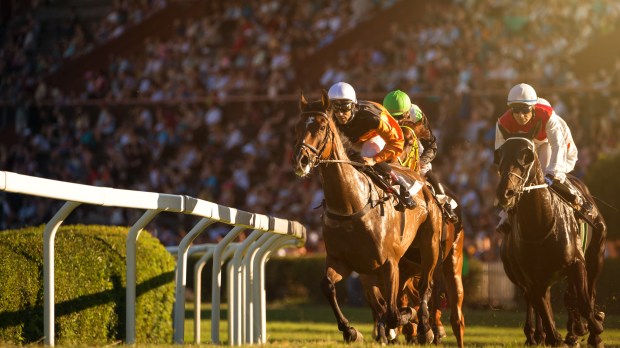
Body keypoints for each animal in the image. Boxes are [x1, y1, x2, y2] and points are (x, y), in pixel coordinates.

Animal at [294, 89, 440, 342]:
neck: (350, 205)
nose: (301, 161)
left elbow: (393, 314)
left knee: (425, 288)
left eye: (321, 127)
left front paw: (406, 319)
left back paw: (425, 328)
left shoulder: (389, 264)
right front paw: (350, 330)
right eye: (298, 126)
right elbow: (327, 286)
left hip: (429, 246)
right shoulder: (342, 261)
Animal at [496, 123, 608, 346]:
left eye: (528, 155)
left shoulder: (577, 263)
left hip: (596, 253)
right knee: (541, 300)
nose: (506, 192)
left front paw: (594, 330)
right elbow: (543, 307)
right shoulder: (532, 278)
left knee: (586, 292)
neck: (540, 225)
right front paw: (553, 336)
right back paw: (541, 335)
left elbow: (584, 301)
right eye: (499, 154)